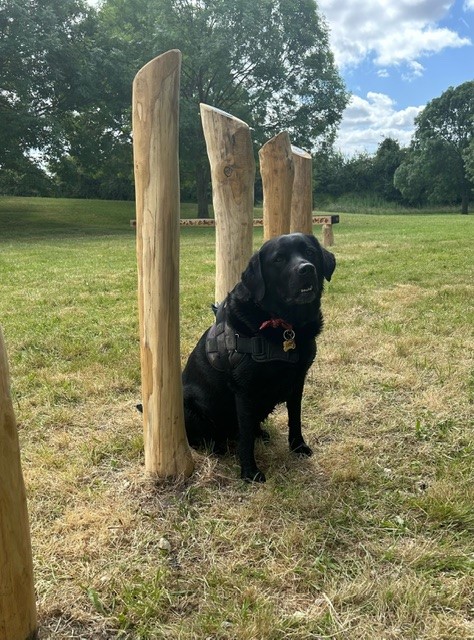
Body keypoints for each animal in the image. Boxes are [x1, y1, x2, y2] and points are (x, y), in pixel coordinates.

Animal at [182, 232, 336, 482]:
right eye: (279, 259)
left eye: (310, 252)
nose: (306, 269)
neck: (284, 324)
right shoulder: (245, 391)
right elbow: (245, 438)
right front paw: (249, 472)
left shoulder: (298, 381)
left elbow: (295, 419)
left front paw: (298, 447)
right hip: (188, 407)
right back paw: (219, 447)